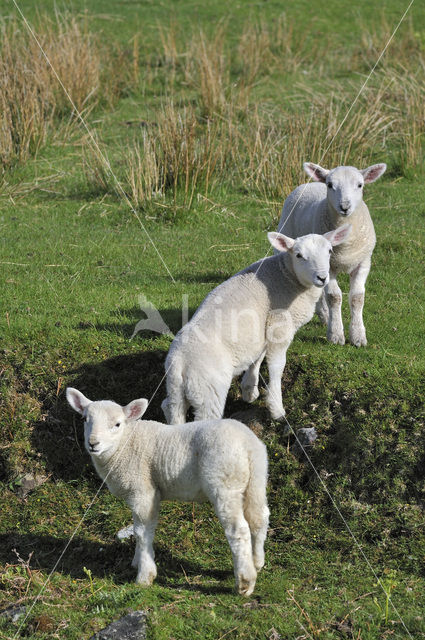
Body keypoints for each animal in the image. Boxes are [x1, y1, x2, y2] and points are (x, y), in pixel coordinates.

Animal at [65, 384, 268, 600]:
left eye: (117, 424)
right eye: (85, 419)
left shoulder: (143, 491)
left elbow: (143, 532)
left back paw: (245, 582)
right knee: (259, 518)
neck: (125, 444)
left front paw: (145, 575)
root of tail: (248, 444)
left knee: (239, 529)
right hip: (256, 480)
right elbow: (138, 529)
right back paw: (257, 563)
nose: (93, 443)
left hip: (224, 483)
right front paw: (137, 561)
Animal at [161, 222, 350, 422]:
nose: (322, 278)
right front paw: (276, 408)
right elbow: (276, 365)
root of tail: (178, 363)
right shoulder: (279, 324)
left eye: (330, 251)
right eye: (299, 255)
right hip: (208, 388)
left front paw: (249, 389)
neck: (287, 275)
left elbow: (258, 355)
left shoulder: (261, 330)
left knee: (170, 407)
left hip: (177, 391)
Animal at [276, 162, 386, 348]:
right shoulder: (329, 267)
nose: (345, 207)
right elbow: (334, 296)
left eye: (360, 185)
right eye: (330, 185)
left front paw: (358, 336)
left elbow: (357, 297)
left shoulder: (363, 262)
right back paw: (325, 316)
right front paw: (335, 334)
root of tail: (310, 183)